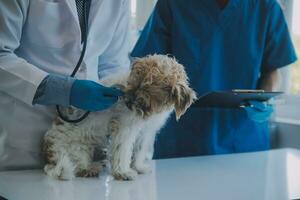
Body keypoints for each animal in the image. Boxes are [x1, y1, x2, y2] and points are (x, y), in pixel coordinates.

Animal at [42, 54, 197, 180]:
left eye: (146, 92)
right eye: (133, 83)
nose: (128, 102)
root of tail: (50, 159)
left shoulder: (145, 132)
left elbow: (139, 151)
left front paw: (138, 167)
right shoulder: (124, 129)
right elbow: (123, 151)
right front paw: (123, 172)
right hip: (75, 150)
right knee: (77, 166)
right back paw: (89, 168)